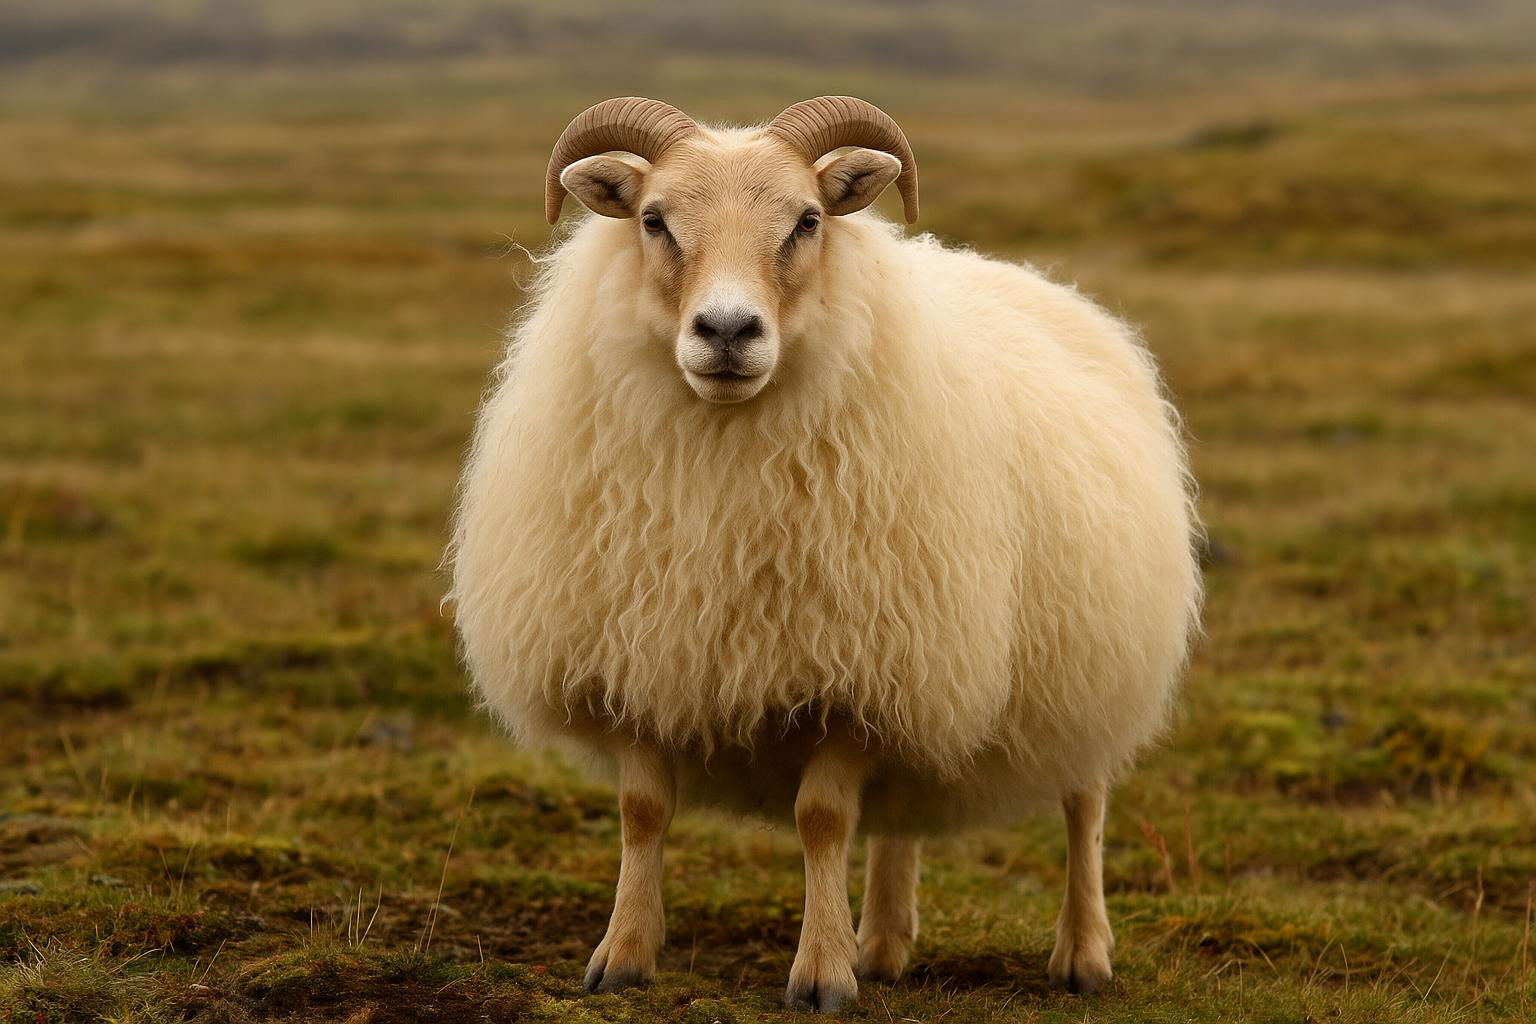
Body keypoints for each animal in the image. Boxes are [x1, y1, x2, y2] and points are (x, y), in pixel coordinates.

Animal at [449, 95, 1201, 1013]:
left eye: (807, 221)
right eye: (654, 220)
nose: (727, 331)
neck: (723, 451)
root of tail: (1044, 287)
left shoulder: (856, 673)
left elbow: (822, 820)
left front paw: (821, 976)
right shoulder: (648, 652)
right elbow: (642, 811)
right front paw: (622, 957)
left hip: (1088, 666)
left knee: (1084, 806)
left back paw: (1082, 955)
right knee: (900, 815)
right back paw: (881, 942)